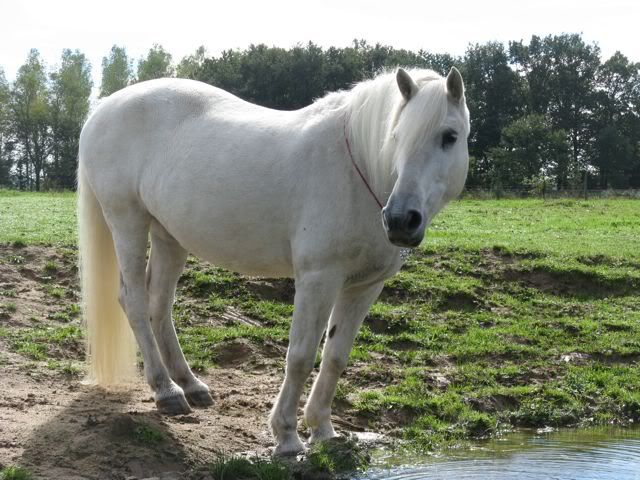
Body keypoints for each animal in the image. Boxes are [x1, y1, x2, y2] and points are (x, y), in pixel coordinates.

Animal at [79, 66, 470, 454]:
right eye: (396, 135)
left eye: (449, 136)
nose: (401, 220)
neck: (358, 169)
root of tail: (101, 110)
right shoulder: (318, 278)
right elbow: (300, 356)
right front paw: (287, 436)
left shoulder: (364, 287)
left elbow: (335, 357)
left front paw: (323, 429)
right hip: (127, 221)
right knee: (134, 301)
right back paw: (166, 391)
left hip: (169, 237)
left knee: (159, 305)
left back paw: (189, 385)